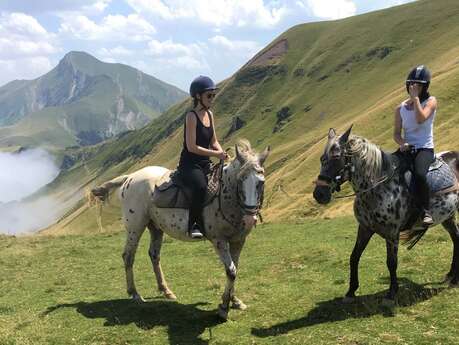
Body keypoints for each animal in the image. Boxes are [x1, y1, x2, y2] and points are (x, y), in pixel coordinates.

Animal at [90, 140, 270, 320]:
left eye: (261, 182)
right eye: (240, 180)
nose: (250, 219)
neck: (225, 196)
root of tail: (130, 177)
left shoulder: (238, 241)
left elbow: (235, 268)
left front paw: (235, 301)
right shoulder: (219, 241)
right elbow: (231, 271)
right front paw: (224, 307)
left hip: (155, 227)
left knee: (154, 255)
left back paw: (166, 290)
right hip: (135, 227)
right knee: (128, 256)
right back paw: (135, 294)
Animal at [312, 126, 459, 304]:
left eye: (336, 157)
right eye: (322, 159)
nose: (319, 194)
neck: (376, 188)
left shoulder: (392, 233)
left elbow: (391, 262)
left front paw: (391, 294)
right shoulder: (365, 228)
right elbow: (354, 257)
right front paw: (351, 291)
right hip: (448, 215)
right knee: (456, 238)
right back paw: (452, 276)